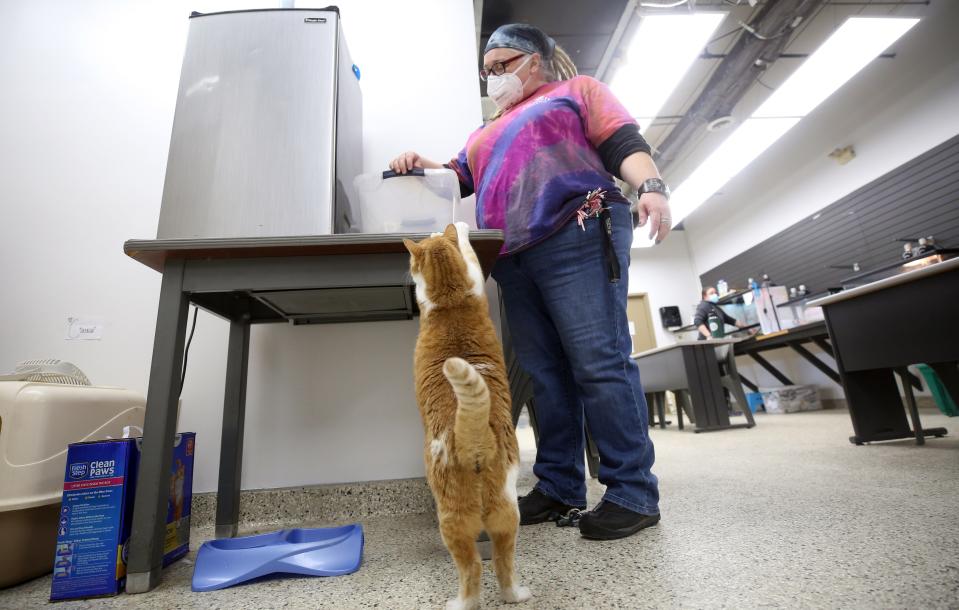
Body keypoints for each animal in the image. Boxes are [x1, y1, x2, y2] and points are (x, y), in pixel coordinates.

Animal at [402, 222, 528, 608]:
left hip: (452, 519)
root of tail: (475, 437)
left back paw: (460, 602)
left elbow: (468, 253)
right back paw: (515, 595)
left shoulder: (469, 275)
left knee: (471, 567)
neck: (451, 299)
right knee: (502, 561)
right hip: (507, 512)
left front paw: (458, 226)